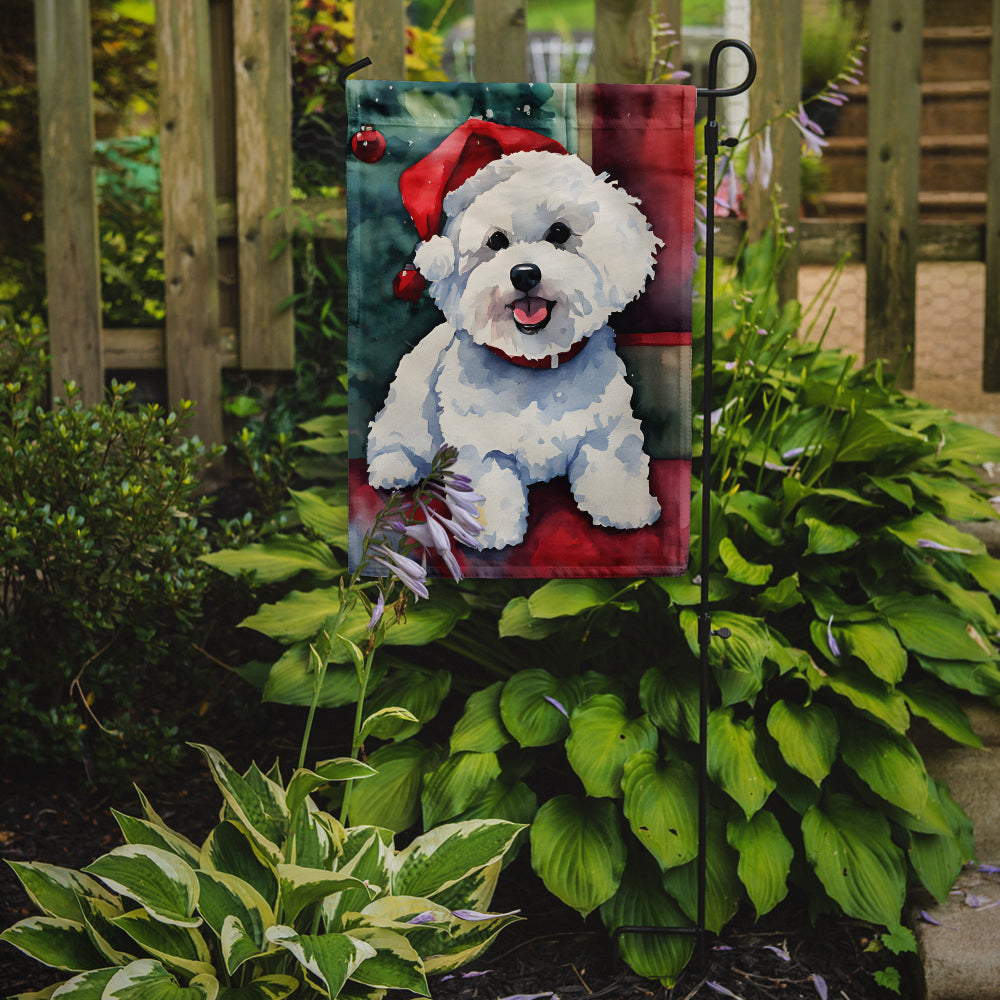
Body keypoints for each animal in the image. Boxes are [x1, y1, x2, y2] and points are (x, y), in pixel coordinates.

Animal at [368, 129, 664, 552]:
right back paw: (393, 468)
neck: (534, 362)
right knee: (393, 436)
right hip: (410, 406)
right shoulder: (480, 446)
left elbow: (614, 464)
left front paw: (625, 508)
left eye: (559, 232)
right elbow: (490, 484)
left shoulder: (606, 430)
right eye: (495, 241)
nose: (524, 273)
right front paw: (489, 531)